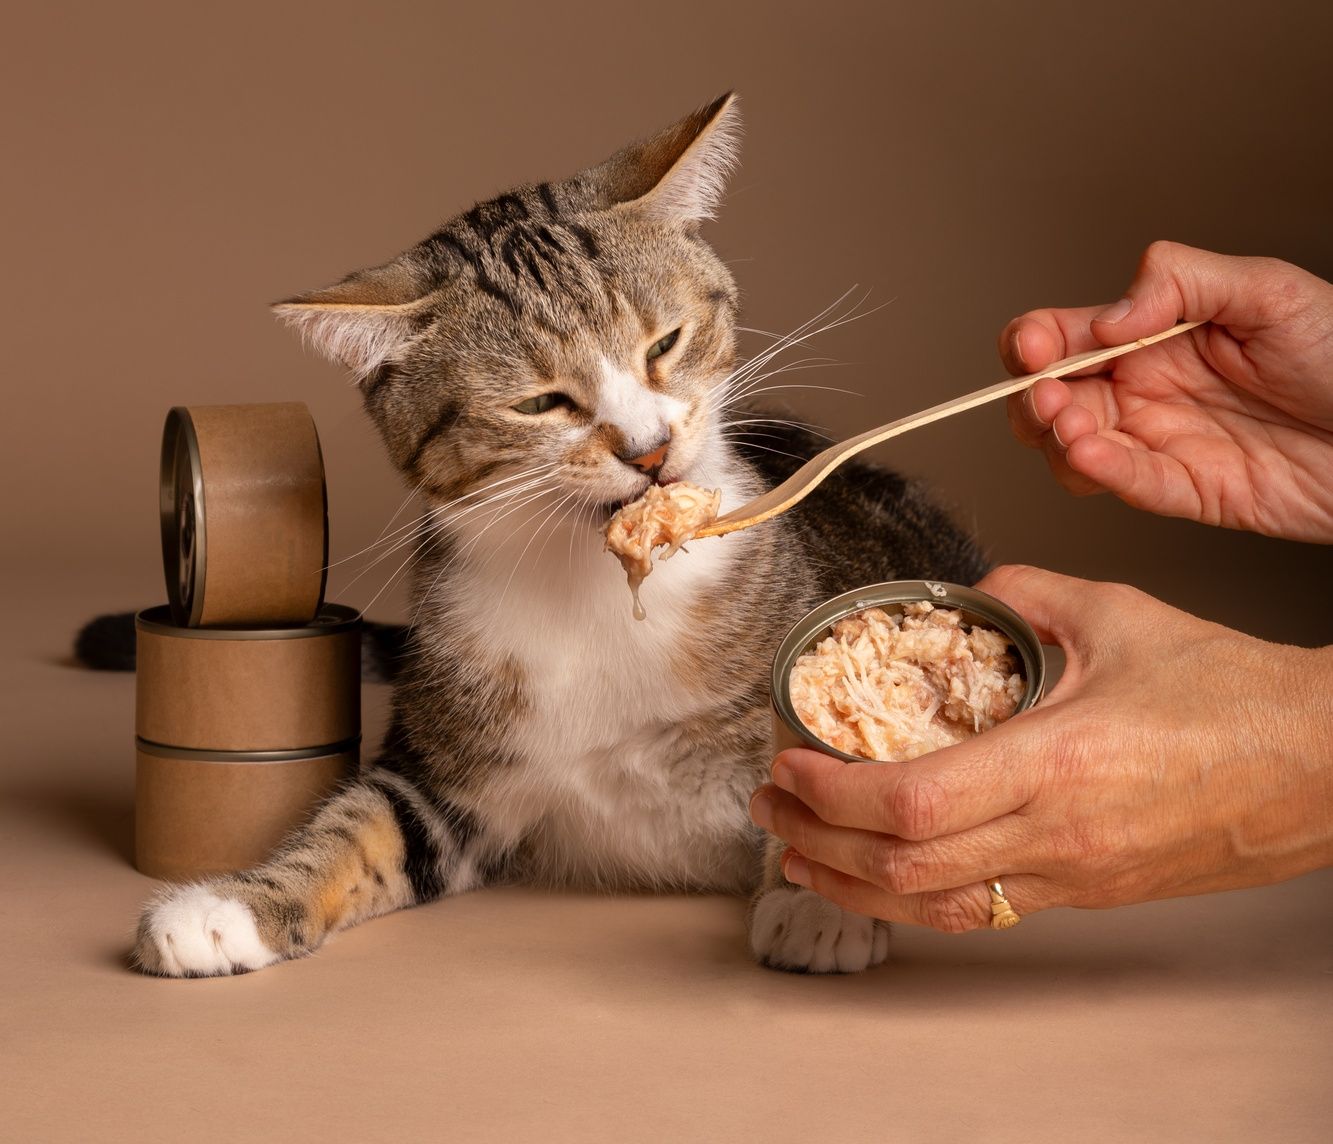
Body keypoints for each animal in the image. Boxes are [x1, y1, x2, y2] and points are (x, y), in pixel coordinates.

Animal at [132, 93, 991, 976]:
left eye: (664, 343)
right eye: (540, 403)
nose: (648, 449)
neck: (594, 588)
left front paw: (820, 903)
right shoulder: (444, 780)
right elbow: (360, 829)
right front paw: (228, 906)